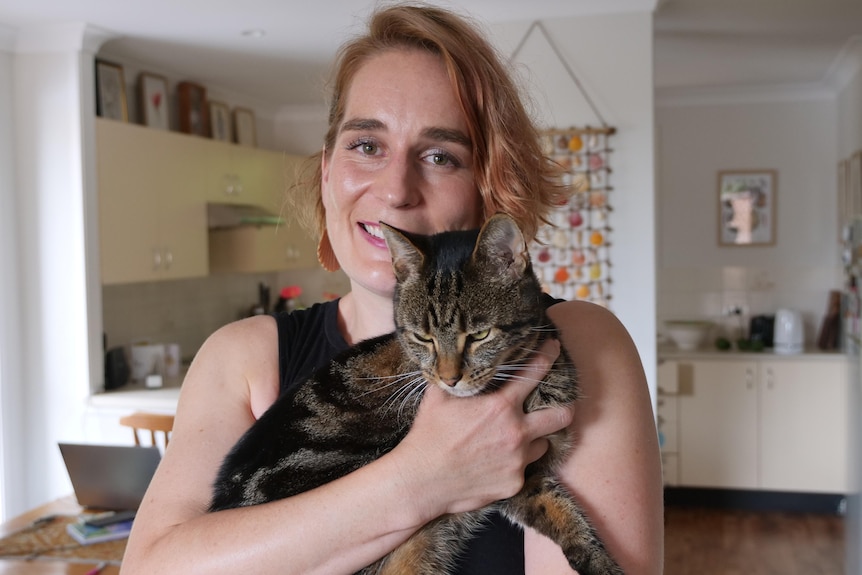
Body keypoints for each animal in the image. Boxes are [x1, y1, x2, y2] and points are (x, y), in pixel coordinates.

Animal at [211, 214, 628, 572]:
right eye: (423, 337)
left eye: (479, 335)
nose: (449, 378)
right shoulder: (511, 476)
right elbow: (558, 509)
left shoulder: (530, 474)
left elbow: (563, 511)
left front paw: (599, 561)